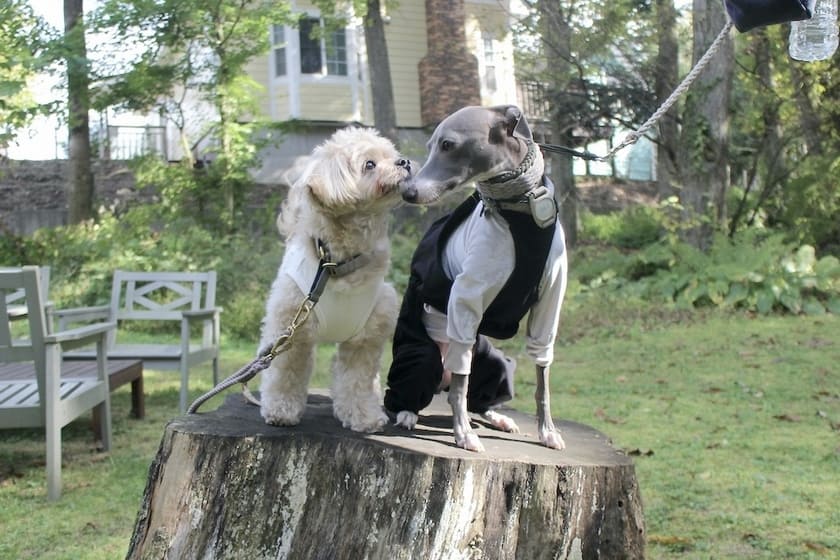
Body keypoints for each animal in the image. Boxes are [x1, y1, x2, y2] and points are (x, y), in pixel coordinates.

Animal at [260, 128, 410, 434]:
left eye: (393, 155)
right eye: (370, 164)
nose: (405, 162)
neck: (338, 266)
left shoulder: (364, 341)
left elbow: (357, 381)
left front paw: (364, 417)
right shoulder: (294, 334)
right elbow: (286, 374)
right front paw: (280, 411)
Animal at [384, 105, 568, 450]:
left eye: (447, 145)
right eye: (430, 145)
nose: (408, 192)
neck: (520, 210)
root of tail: (438, 382)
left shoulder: (550, 300)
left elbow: (543, 376)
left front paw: (548, 430)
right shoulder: (466, 296)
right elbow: (460, 386)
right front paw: (463, 434)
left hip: (494, 362)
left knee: (475, 393)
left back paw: (497, 416)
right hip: (420, 357)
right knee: (420, 391)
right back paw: (407, 413)